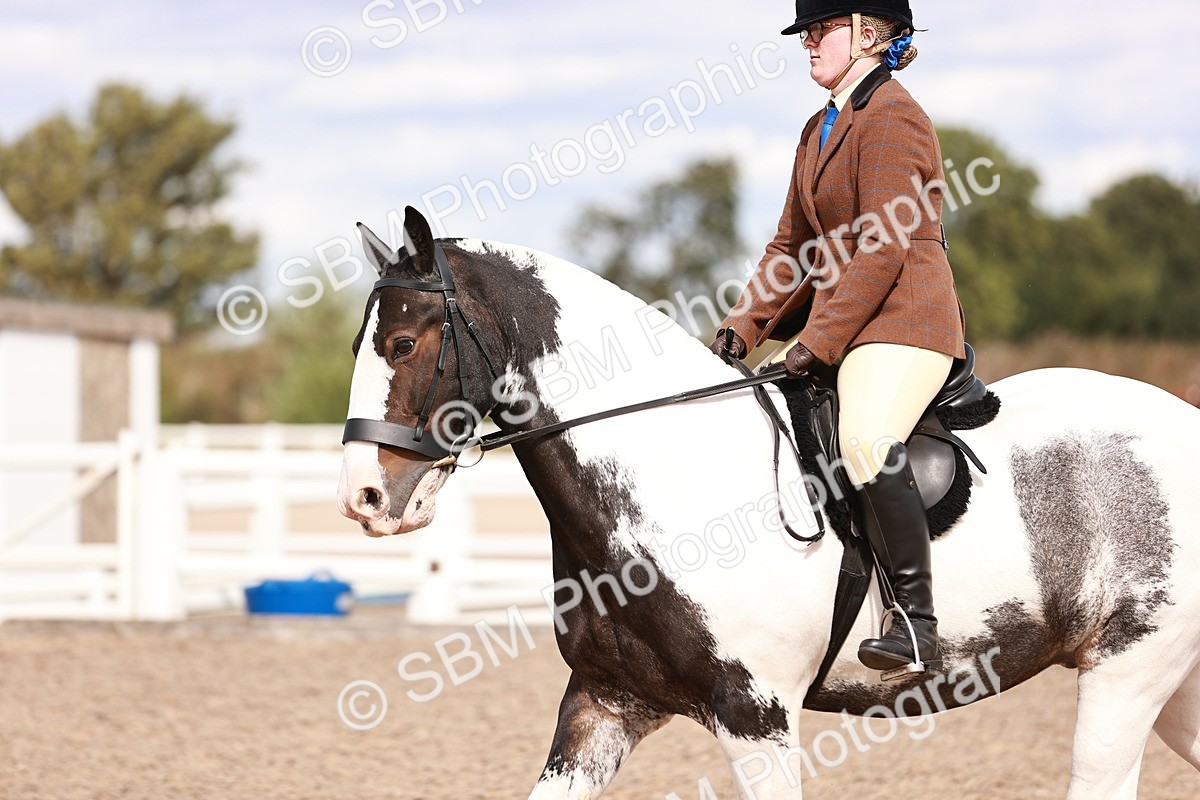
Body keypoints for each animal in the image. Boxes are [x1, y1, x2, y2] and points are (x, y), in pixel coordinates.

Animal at [336, 207, 1200, 799]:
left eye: (404, 344)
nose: (364, 498)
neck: (670, 469)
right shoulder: (604, 703)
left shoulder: (756, 713)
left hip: (1129, 667)